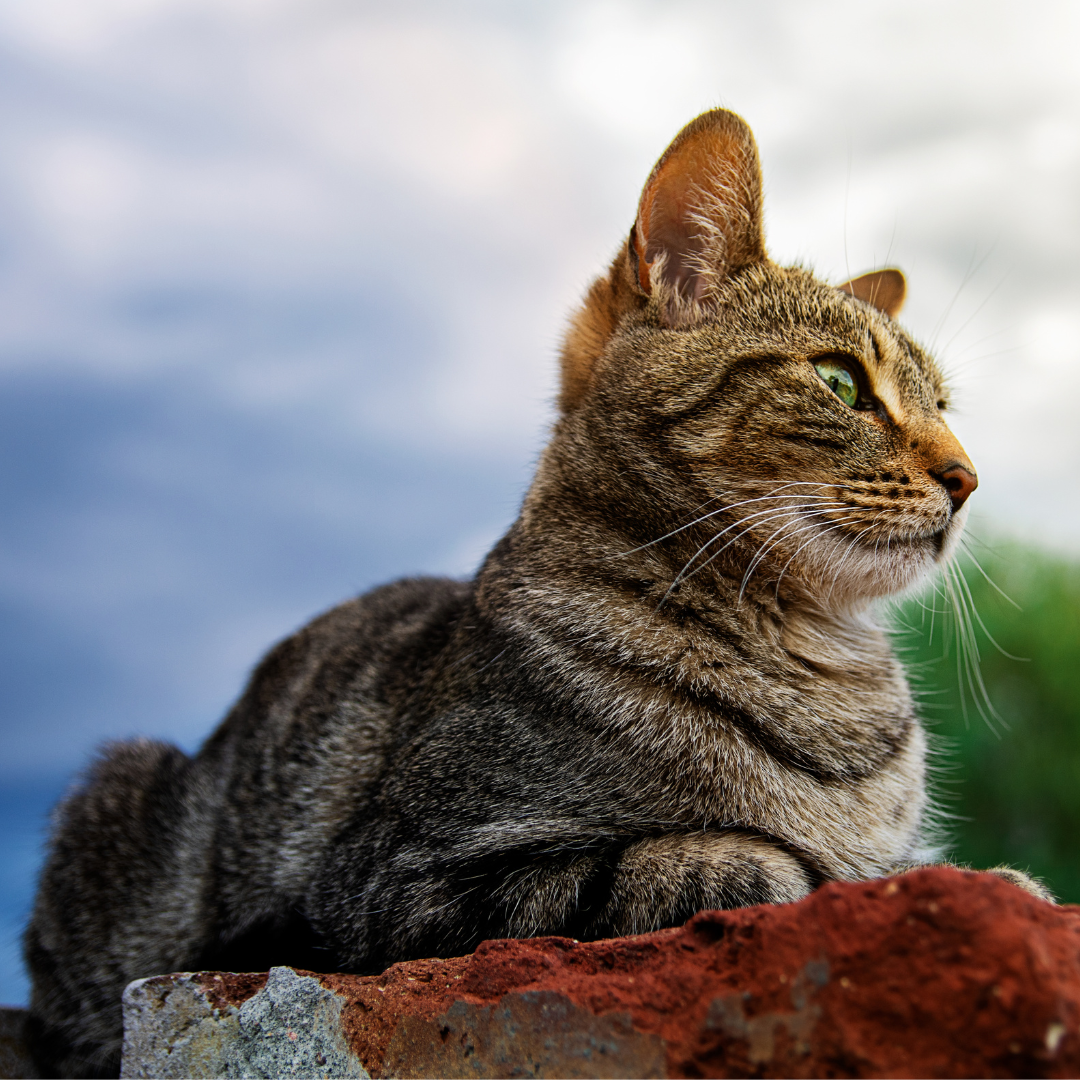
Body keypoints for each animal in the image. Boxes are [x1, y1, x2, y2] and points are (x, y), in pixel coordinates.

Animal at [21, 107, 1049, 1071]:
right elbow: (701, 862)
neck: (815, 654)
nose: (968, 476)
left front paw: (995, 882)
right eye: (839, 382)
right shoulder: (396, 881)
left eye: (944, 405)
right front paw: (805, 868)